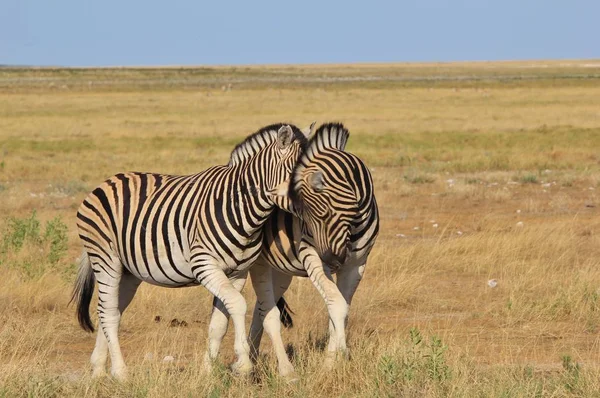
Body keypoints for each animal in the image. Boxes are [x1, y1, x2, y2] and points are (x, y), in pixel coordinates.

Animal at [71, 122, 310, 380]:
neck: (242, 210)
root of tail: (106, 182)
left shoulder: (237, 273)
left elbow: (220, 322)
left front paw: (210, 371)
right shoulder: (204, 264)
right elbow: (238, 304)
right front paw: (243, 363)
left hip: (129, 272)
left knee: (110, 310)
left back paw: (98, 370)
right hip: (106, 258)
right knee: (108, 313)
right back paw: (120, 372)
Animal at [204, 123, 378, 378]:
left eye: (322, 213)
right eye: (311, 214)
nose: (333, 260)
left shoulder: (357, 265)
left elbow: (341, 308)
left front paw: (334, 358)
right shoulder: (312, 256)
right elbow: (337, 304)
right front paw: (336, 360)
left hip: (281, 270)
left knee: (261, 309)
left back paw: (252, 359)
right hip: (257, 265)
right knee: (247, 311)